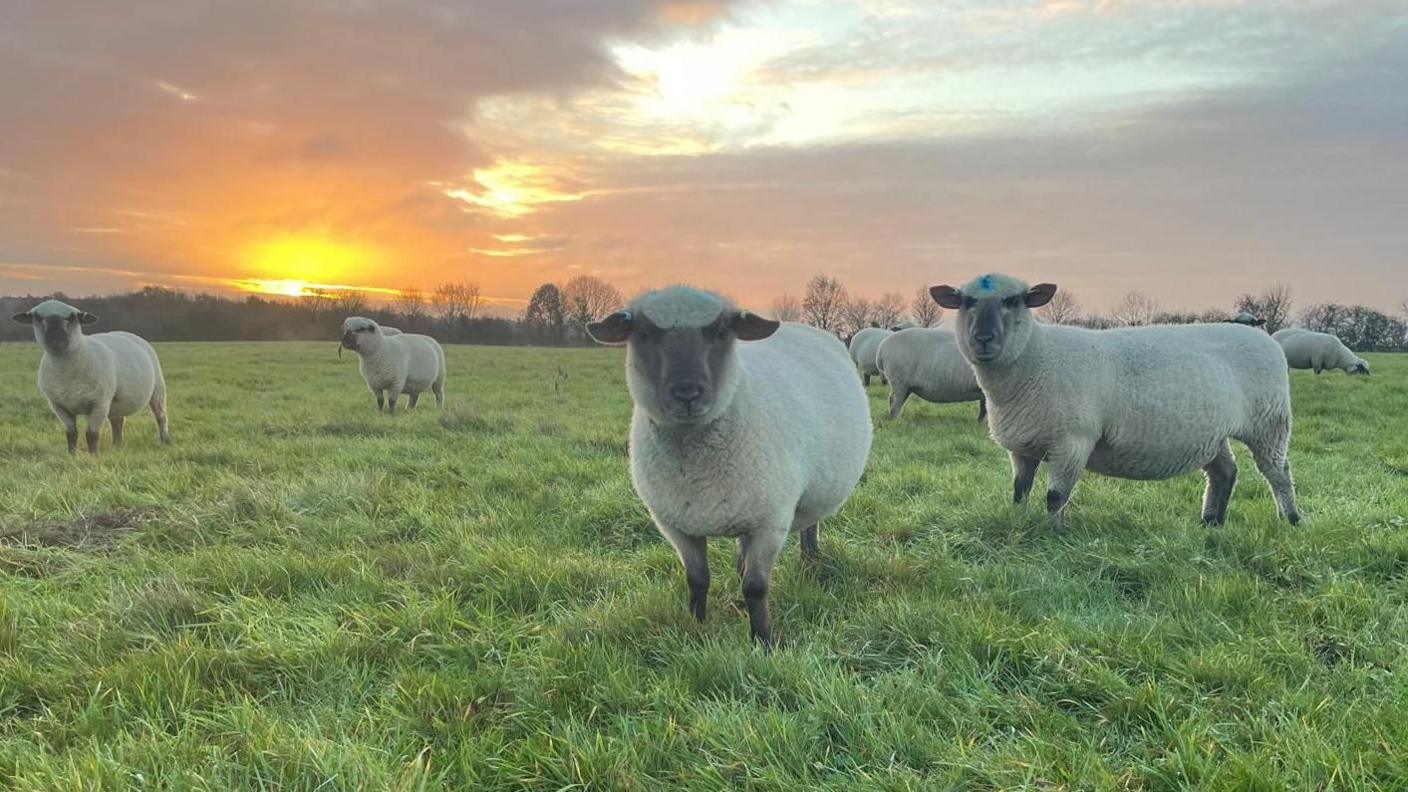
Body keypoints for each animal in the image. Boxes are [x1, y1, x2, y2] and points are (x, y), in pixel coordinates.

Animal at [10, 298, 171, 453]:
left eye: (72, 317)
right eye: (37, 317)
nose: (56, 340)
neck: (66, 375)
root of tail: (125, 333)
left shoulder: (99, 403)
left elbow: (91, 435)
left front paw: (94, 455)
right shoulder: (59, 406)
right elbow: (71, 434)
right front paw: (72, 455)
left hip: (157, 389)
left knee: (161, 417)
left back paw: (165, 442)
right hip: (115, 402)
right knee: (117, 421)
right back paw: (116, 446)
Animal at [582, 286, 867, 645]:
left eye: (719, 331)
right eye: (644, 333)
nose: (687, 393)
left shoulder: (770, 522)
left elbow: (755, 587)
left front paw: (763, 641)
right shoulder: (676, 525)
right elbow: (697, 579)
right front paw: (696, 625)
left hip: (812, 492)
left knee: (810, 525)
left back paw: (811, 559)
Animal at [929, 273, 1300, 529]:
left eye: (1014, 301)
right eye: (966, 302)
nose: (983, 338)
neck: (1035, 356)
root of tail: (1261, 336)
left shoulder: (1072, 441)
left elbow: (1054, 497)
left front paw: (1055, 533)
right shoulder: (1022, 445)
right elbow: (1020, 490)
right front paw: (1019, 521)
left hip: (1269, 422)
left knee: (1278, 472)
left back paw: (1291, 519)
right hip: (1210, 432)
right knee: (1224, 473)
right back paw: (1211, 522)